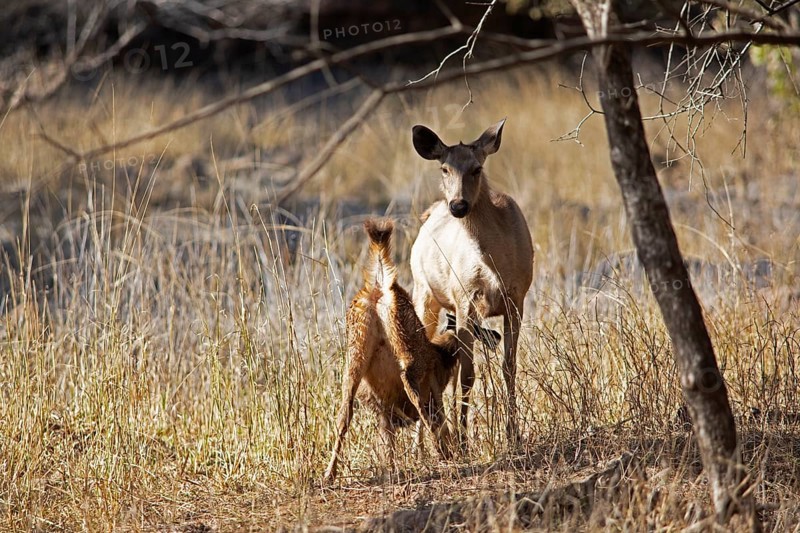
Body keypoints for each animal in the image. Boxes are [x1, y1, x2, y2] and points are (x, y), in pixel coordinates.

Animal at [323, 217, 459, 483]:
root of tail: (380, 287)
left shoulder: (383, 412)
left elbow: (388, 442)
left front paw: (392, 468)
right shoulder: (434, 384)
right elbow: (436, 412)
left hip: (354, 355)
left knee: (344, 412)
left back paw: (329, 474)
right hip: (407, 344)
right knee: (412, 387)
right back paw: (442, 451)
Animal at [410, 118, 534, 450]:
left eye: (477, 168)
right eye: (444, 168)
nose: (459, 205)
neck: (496, 265)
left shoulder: (516, 300)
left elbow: (508, 366)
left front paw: (513, 434)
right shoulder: (465, 299)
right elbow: (468, 376)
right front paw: (465, 441)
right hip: (424, 292)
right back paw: (420, 445)